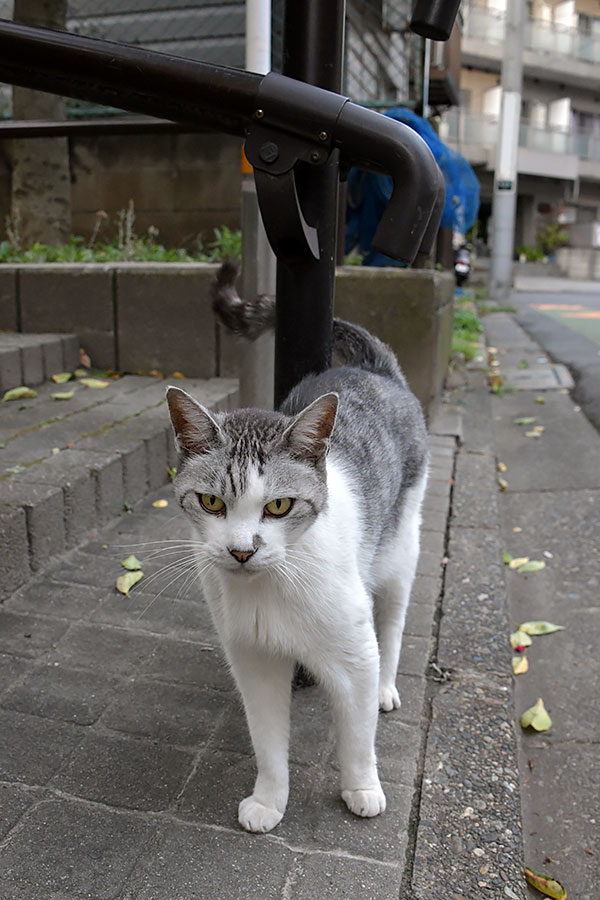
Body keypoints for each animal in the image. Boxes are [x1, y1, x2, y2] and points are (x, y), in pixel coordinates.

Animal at [166, 264, 428, 832]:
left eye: (280, 506)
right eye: (212, 502)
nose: (242, 551)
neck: (271, 590)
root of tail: (375, 370)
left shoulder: (354, 656)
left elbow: (358, 740)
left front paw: (362, 789)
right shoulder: (254, 662)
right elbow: (268, 743)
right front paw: (269, 801)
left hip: (400, 551)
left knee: (393, 624)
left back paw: (386, 689)